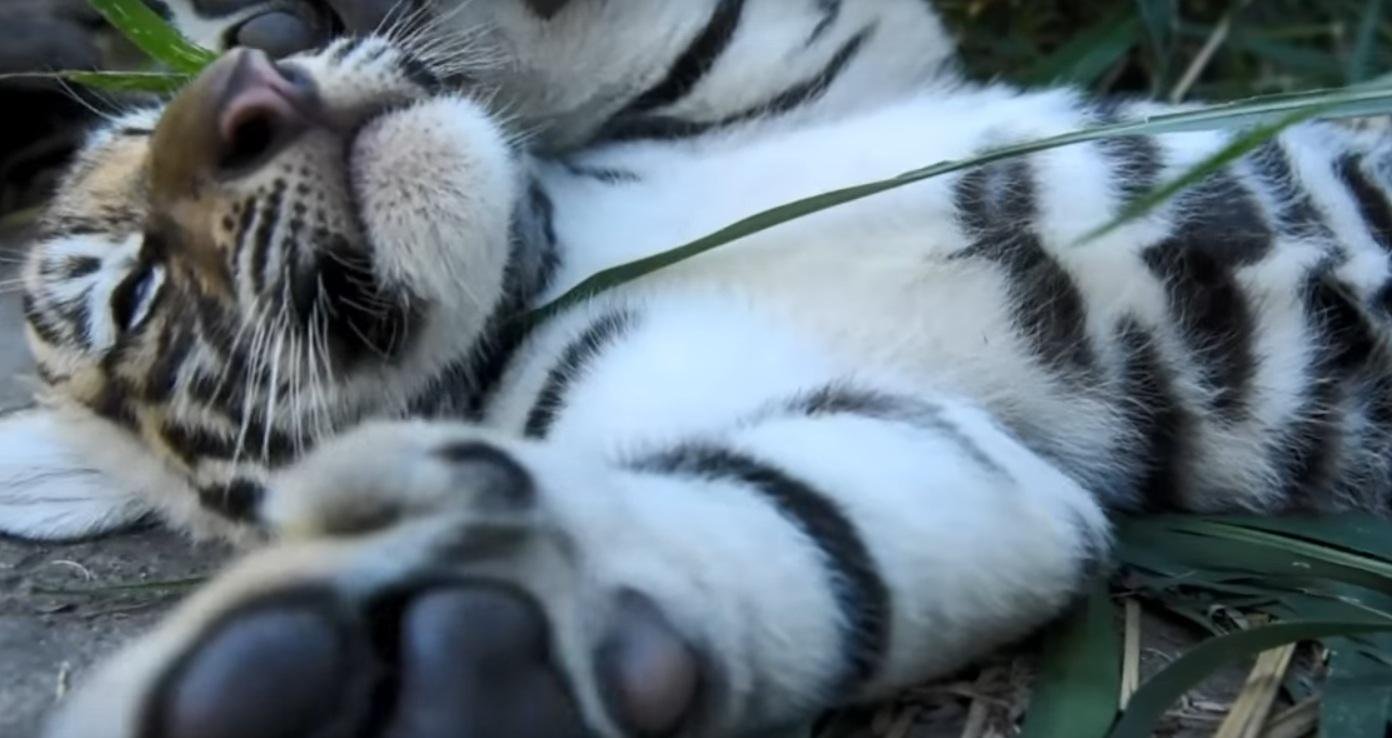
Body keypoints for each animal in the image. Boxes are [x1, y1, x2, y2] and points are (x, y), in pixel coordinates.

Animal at [4, 1, 1392, 737]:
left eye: (156, 126)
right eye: (128, 289)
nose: (242, 94)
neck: (552, 245)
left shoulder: (816, 59)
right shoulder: (938, 449)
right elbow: (791, 530)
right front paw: (450, 669)